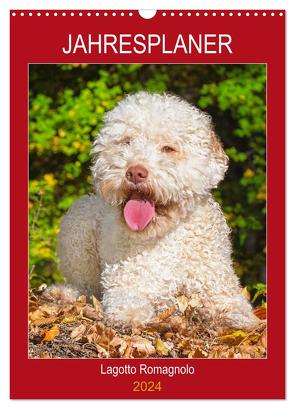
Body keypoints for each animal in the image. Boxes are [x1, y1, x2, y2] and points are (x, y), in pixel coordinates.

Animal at [56, 91, 260, 328]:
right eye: (126, 141)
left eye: (168, 148)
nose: (135, 172)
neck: (164, 234)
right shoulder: (124, 281)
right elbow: (127, 298)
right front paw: (131, 314)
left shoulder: (218, 286)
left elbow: (236, 308)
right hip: (78, 223)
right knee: (85, 286)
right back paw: (62, 292)